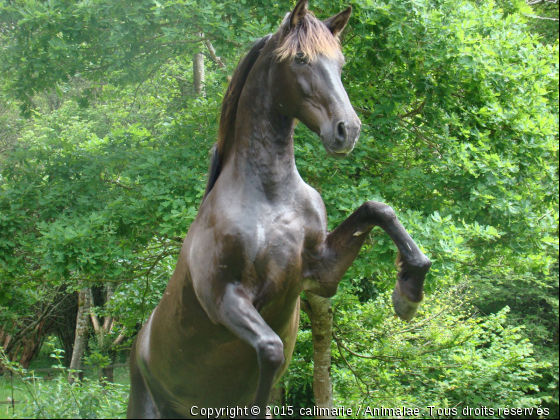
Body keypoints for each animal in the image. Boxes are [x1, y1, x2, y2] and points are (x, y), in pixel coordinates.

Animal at [128, 1, 434, 418]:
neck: (269, 198)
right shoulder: (224, 297)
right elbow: (271, 351)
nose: (347, 130)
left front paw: (408, 293)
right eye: (301, 58)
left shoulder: (321, 272)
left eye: (340, 63)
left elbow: (378, 210)